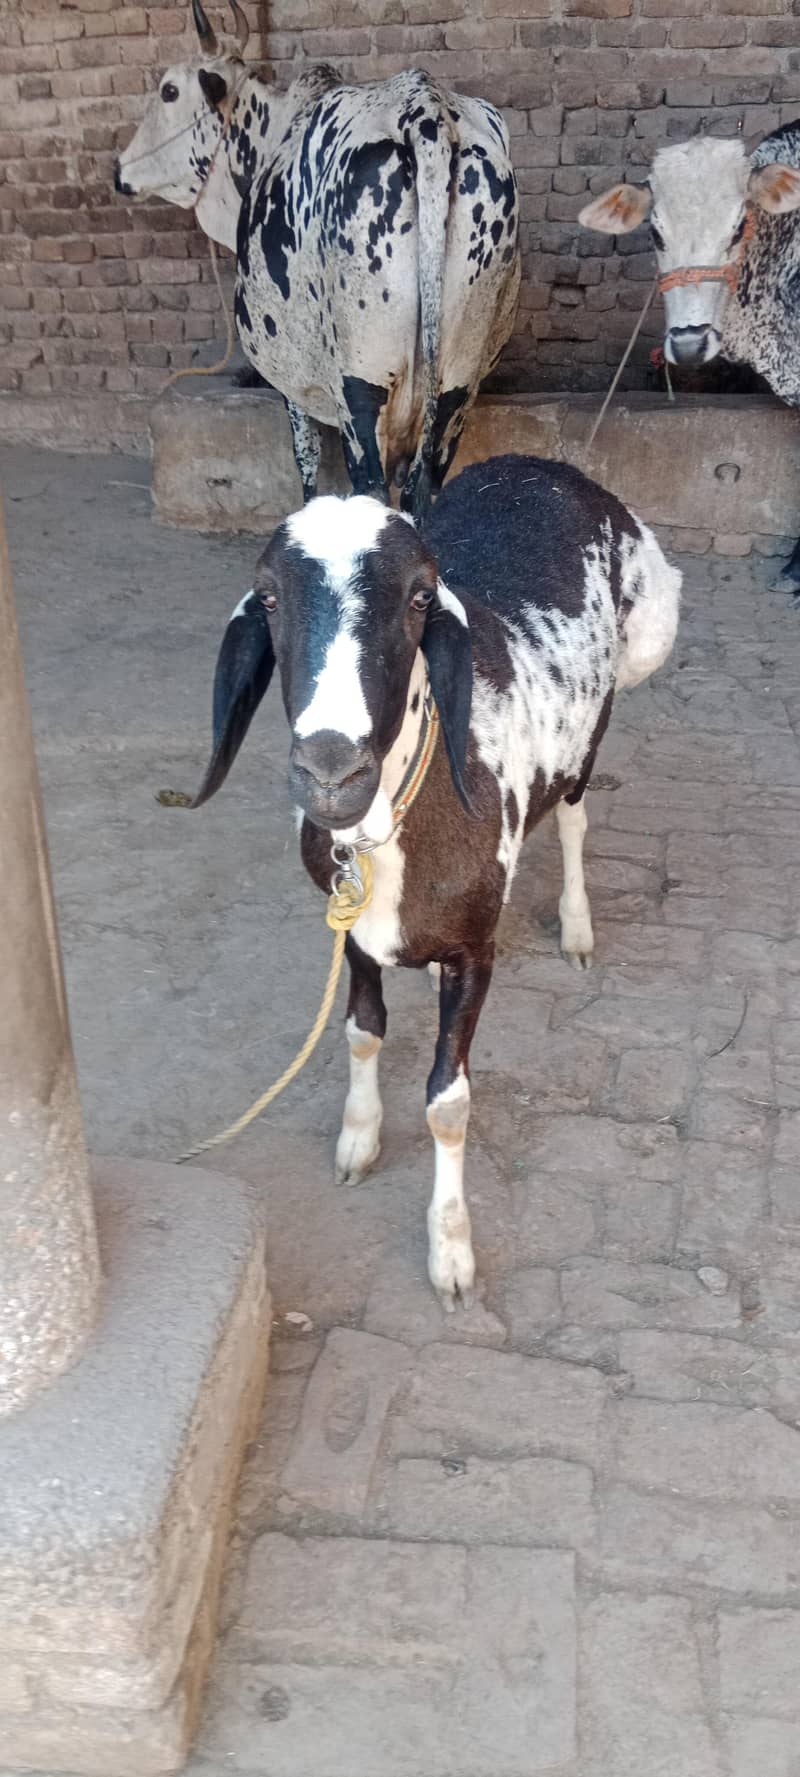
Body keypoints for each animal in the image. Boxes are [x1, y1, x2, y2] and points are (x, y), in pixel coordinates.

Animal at [193, 453, 681, 1308]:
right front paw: (358, 1138)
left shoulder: (477, 949)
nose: (331, 769)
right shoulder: (349, 928)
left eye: (422, 595)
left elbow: (449, 1101)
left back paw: (578, 926)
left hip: (596, 727)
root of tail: (544, 465)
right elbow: (362, 1029)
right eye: (269, 595)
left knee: (577, 816)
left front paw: (451, 1251)